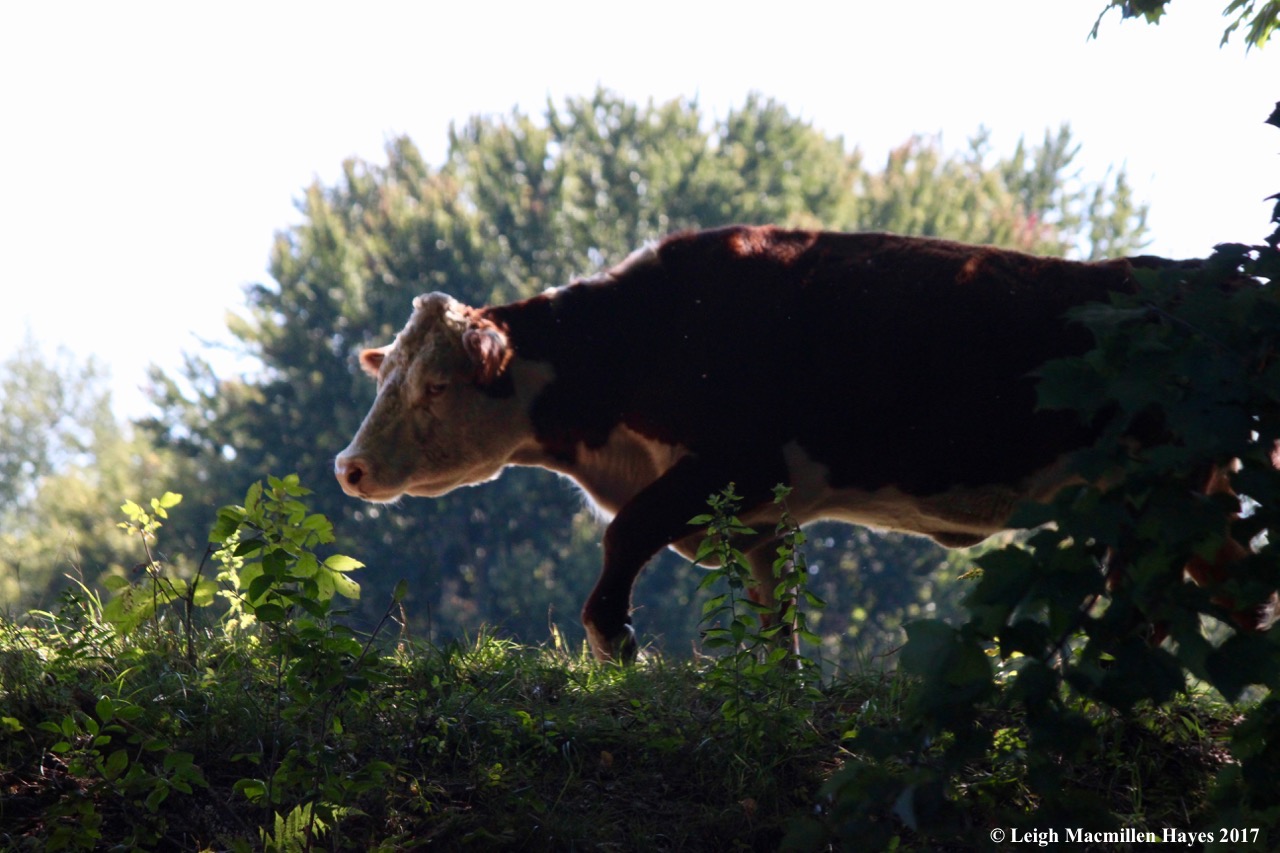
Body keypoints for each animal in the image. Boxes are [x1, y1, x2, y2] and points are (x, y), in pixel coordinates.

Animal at [333, 225, 1247, 662]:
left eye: (437, 386)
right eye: (385, 380)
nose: (351, 467)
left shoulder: (725, 467)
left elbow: (624, 534)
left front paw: (616, 640)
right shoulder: (755, 514)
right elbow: (776, 621)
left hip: (1158, 494)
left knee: (1155, 604)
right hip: (1176, 502)